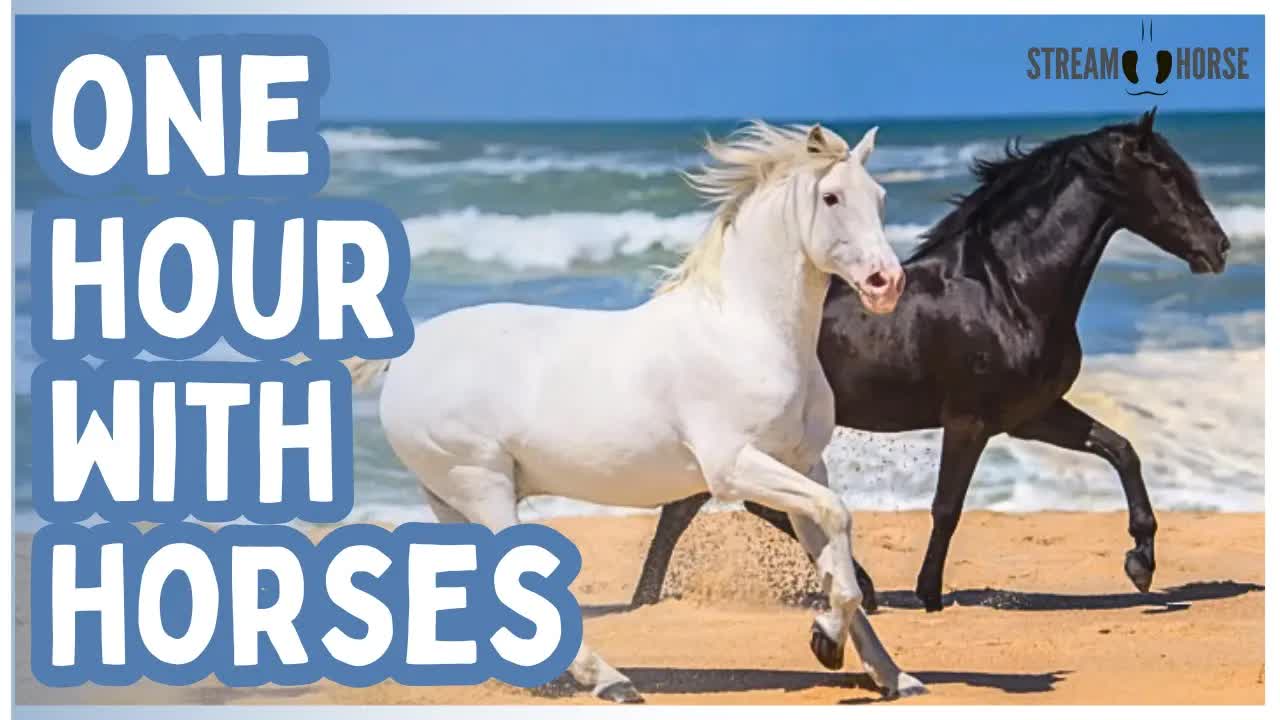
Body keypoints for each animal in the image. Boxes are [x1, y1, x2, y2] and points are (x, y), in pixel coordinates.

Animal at [340, 122, 925, 701]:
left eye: (879, 197)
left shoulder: (803, 465)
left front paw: (890, 674)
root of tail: (406, 354)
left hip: (451, 499)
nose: (886, 283)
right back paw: (610, 680)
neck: (747, 330)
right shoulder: (734, 467)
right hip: (481, 484)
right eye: (831, 197)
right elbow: (839, 521)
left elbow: (831, 552)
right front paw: (827, 638)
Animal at [632, 109, 1231, 614]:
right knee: (730, 505)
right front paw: (930, 595)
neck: (1007, 288)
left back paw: (648, 601)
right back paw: (863, 587)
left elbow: (1120, 449)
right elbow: (947, 506)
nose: (1218, 247)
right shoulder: (969, 419)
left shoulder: (1030, 415)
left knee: (690, 510)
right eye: (1167, 176)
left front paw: (1141, 563)